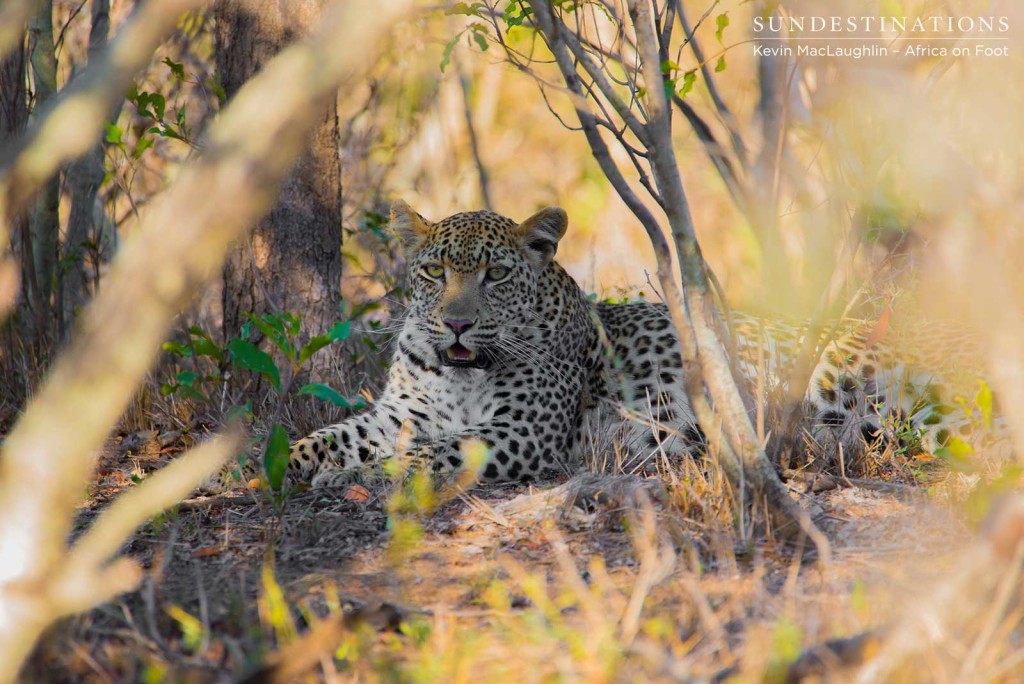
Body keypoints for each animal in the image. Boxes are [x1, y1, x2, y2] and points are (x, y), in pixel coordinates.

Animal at [286, 201, 999, 485]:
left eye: (496, 275)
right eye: (434, 272)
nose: (457, 324)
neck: (459, 372)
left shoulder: (523, 432)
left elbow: (428, 455)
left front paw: (351, 477)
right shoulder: (398, 414)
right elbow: (329, 436)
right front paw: (281, 466)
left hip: (915, 404)